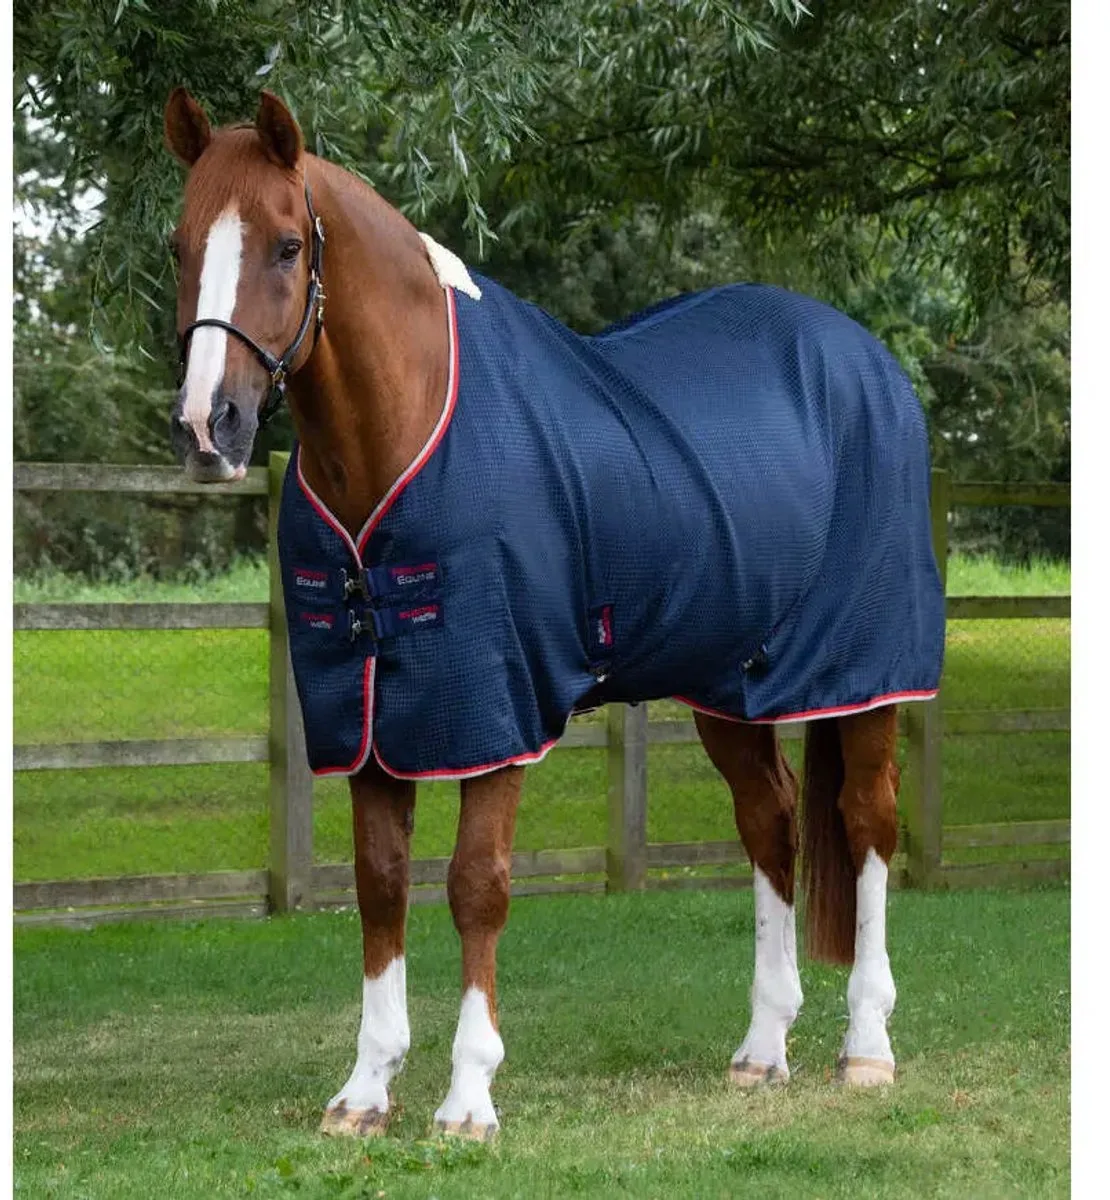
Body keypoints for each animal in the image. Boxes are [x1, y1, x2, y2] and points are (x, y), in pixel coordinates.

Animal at [163, 88, 944, 1139]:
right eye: (179, 244)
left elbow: (475, 886)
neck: (413, 416)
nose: (210, 428)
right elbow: (379, 885)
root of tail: (869, 363)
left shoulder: (494, 706)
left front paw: (467, 1098)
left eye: (287, 246)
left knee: (864, 824)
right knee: (771, 822)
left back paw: (866, 1047)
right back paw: (762, 1048)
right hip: (728, 683)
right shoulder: (370, 714)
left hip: (865, 675)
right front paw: (365, 1091)